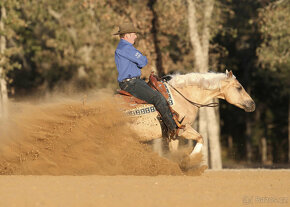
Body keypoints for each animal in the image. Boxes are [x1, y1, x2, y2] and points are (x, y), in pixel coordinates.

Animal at [118, 71, 254, 162]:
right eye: (239, 87)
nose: (252, 104)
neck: (182, 96)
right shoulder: (184, 128)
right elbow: (200, 138)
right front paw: (191, 158)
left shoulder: (173, 136)